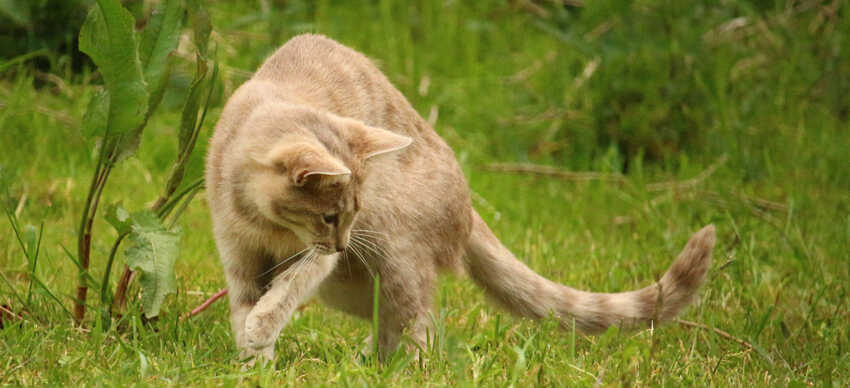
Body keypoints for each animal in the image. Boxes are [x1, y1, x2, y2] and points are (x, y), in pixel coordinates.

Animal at [205, 34, 716, 364]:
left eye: (349, 214)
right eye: (331, 216)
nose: (343, 242)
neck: (264, 224)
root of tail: (469, 211)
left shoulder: (315, 260)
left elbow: (284, 293)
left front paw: (260, 335)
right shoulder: (239, 258)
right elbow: (246, 308)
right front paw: (253, 364)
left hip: (391, 253)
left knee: (421, 323)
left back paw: (402, 372)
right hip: (352, 283)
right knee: (393, 320)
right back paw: (369, 364)